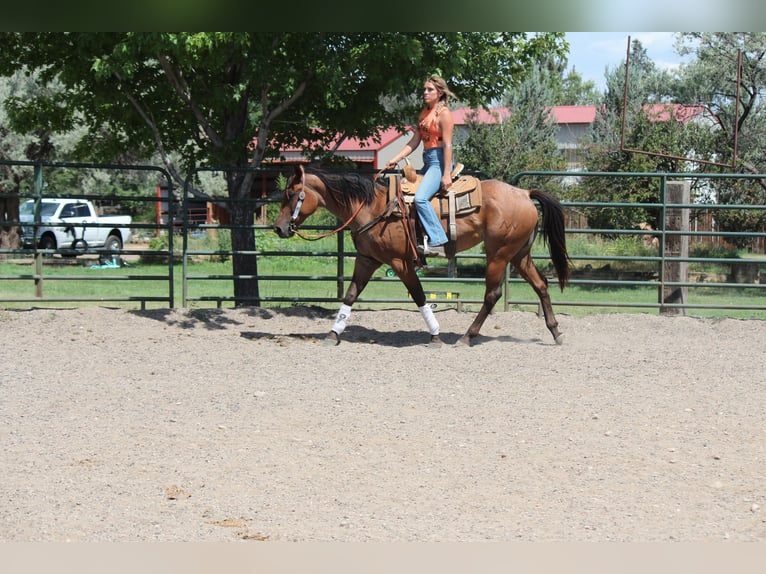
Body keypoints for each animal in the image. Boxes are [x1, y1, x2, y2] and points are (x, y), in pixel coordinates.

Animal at [273, 165, 571, 347]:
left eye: (292, 194)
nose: (279, 228)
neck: (372, 207)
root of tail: (524, 193)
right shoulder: (367, 260)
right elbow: (350, 295)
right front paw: (333, 333)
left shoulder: (400, 263)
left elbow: (418, 296)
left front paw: (436, 335)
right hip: (519, 254)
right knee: (541, 285)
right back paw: (556, 331)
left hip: (498, 254)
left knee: (492, 295)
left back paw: (467, 336)